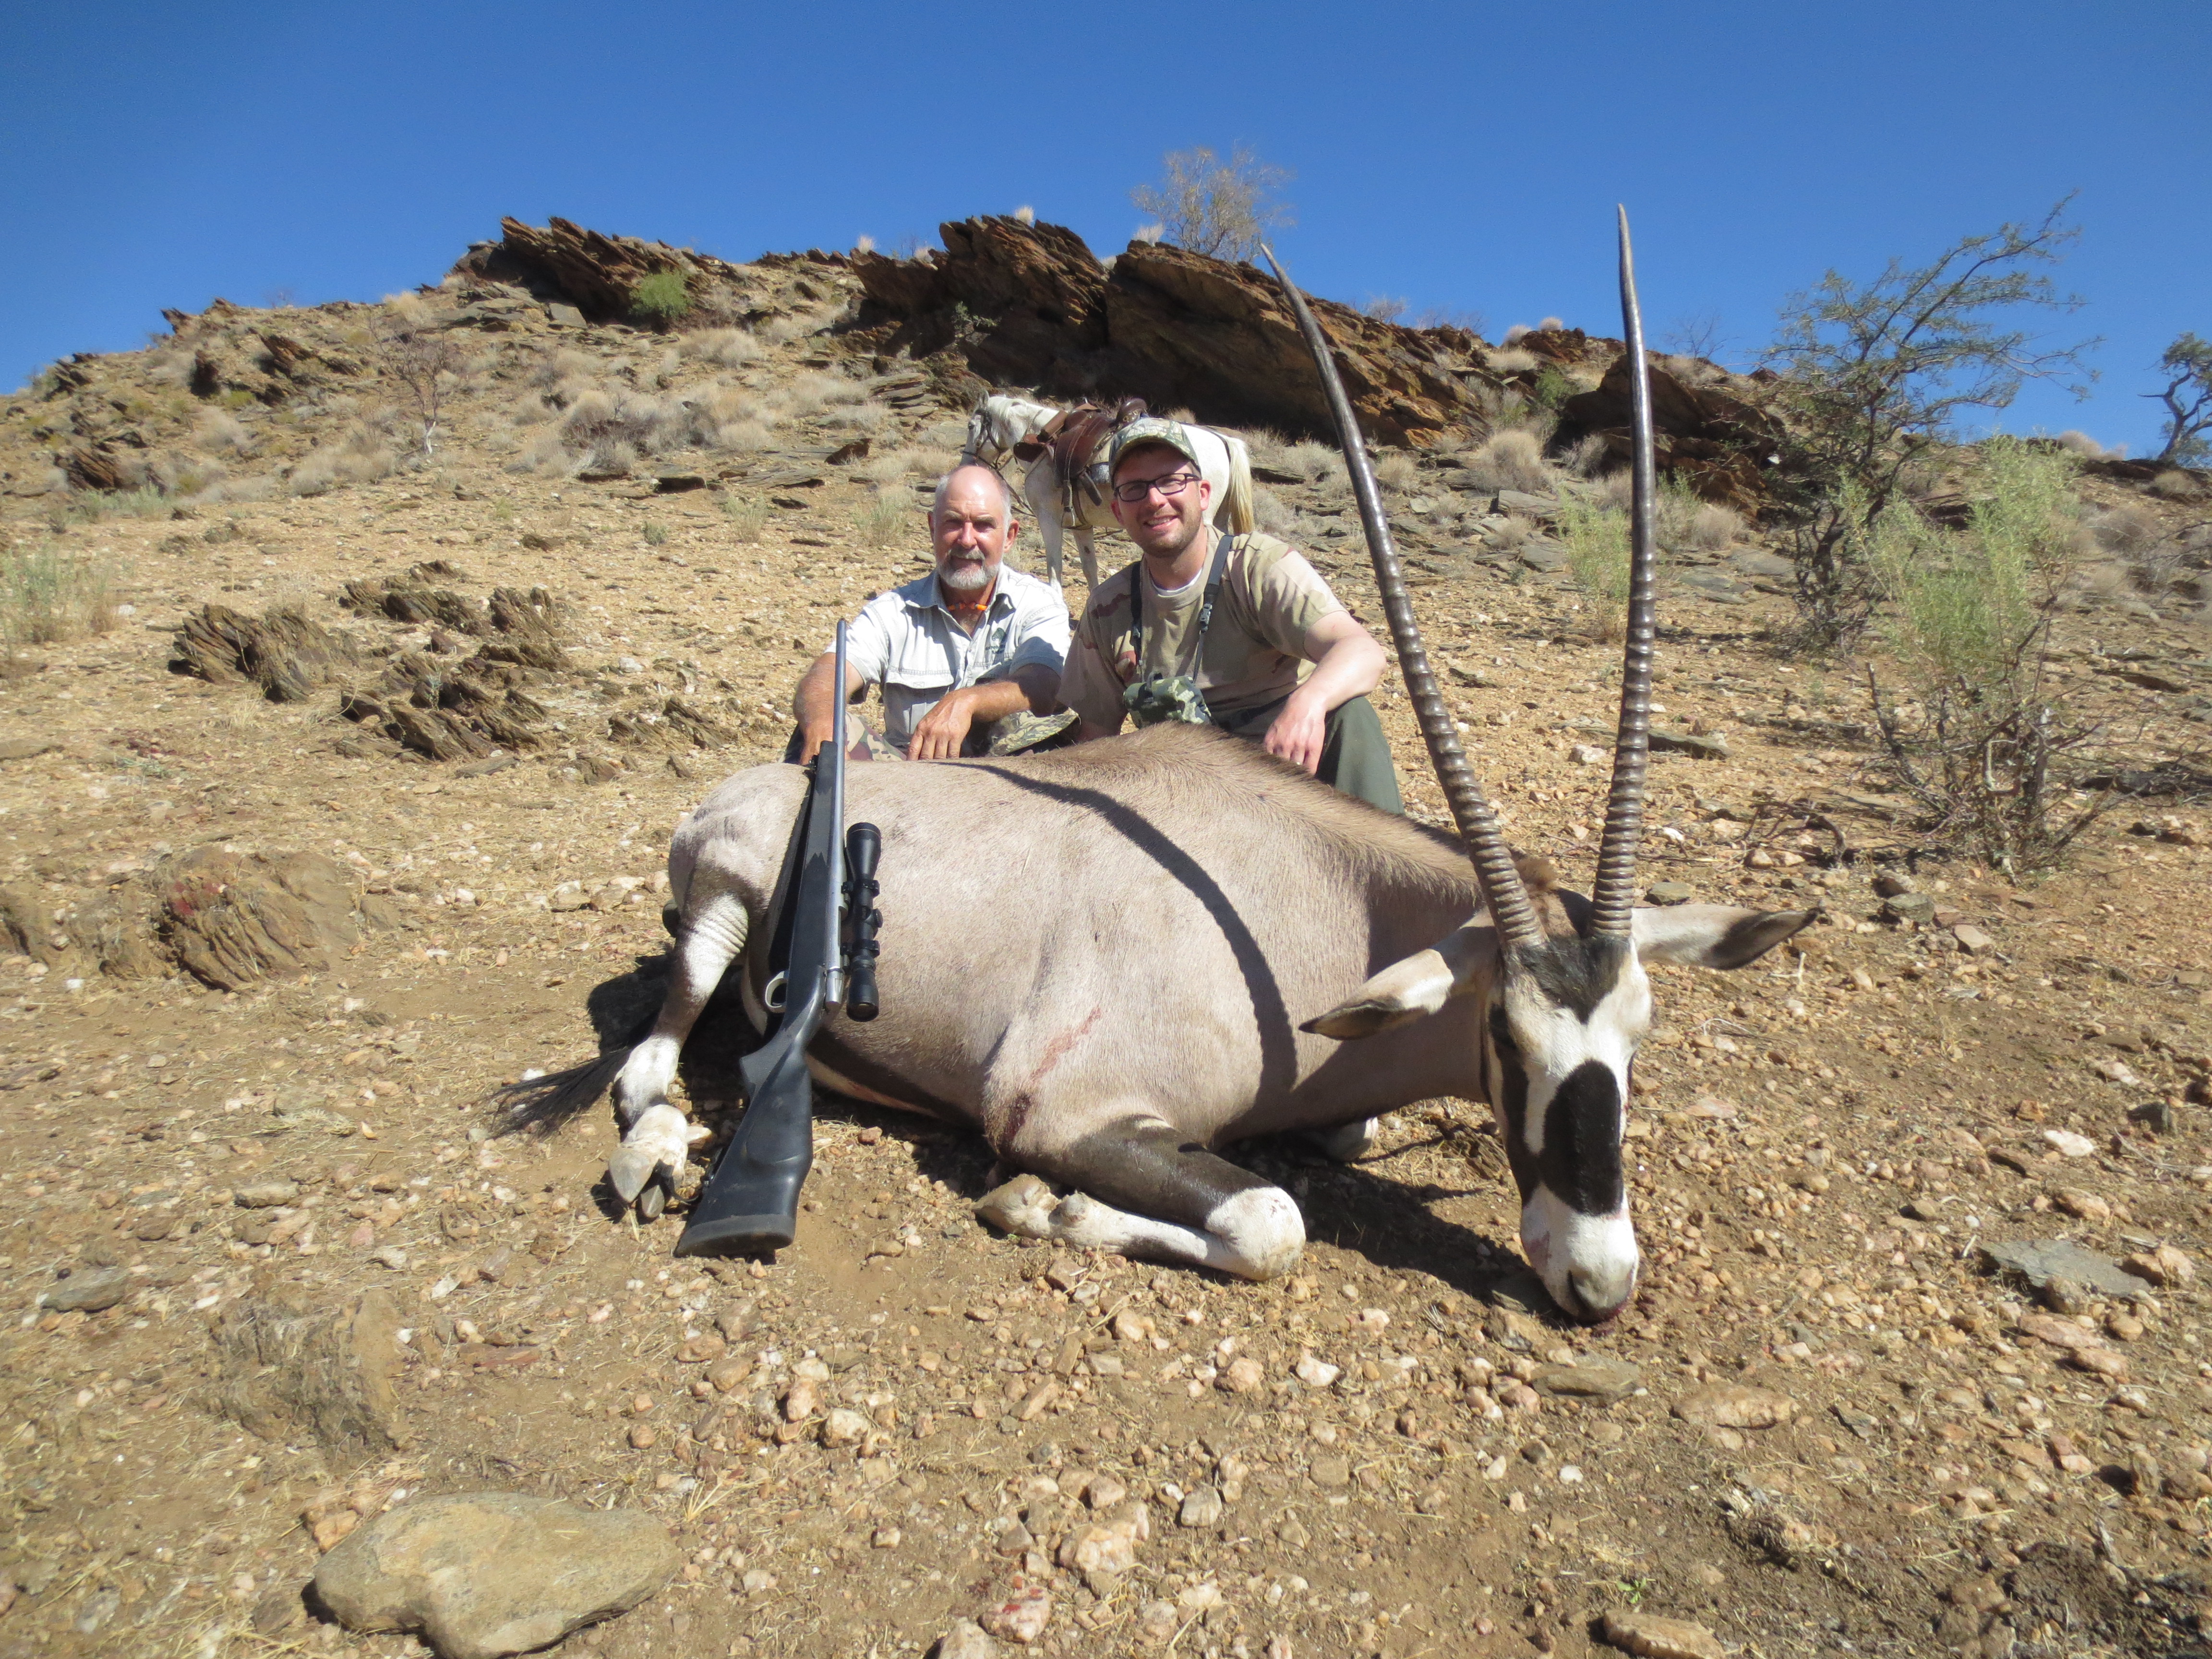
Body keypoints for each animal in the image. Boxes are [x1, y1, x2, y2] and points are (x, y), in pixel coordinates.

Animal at [960, 394, 1256, 592]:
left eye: (971, 427)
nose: (966, 465)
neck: (1040, 444)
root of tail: (1223, 440)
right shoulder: (1080, 525)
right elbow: (1089, 567)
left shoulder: (1049, 518)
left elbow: (1054, 567)